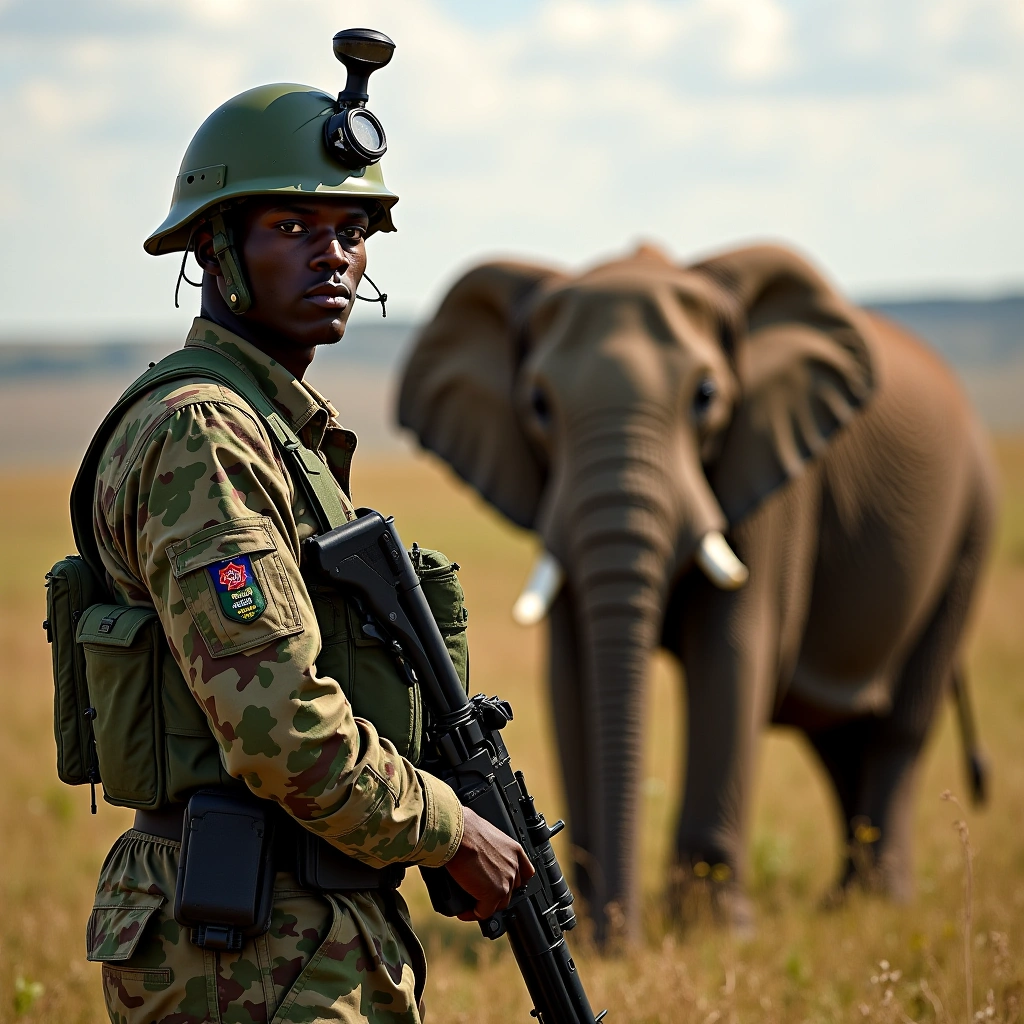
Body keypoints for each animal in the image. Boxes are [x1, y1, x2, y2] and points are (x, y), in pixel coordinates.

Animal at [396, 242, 997, 942]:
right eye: (538, 406)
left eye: (707, 397)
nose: (616, 938)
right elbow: (569, 672)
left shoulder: (772, 469)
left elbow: (733, 654)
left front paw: (718, 931)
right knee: (840, 736)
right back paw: (844, 903)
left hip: (971, 527)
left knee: (900, 725)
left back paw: (877, 903)